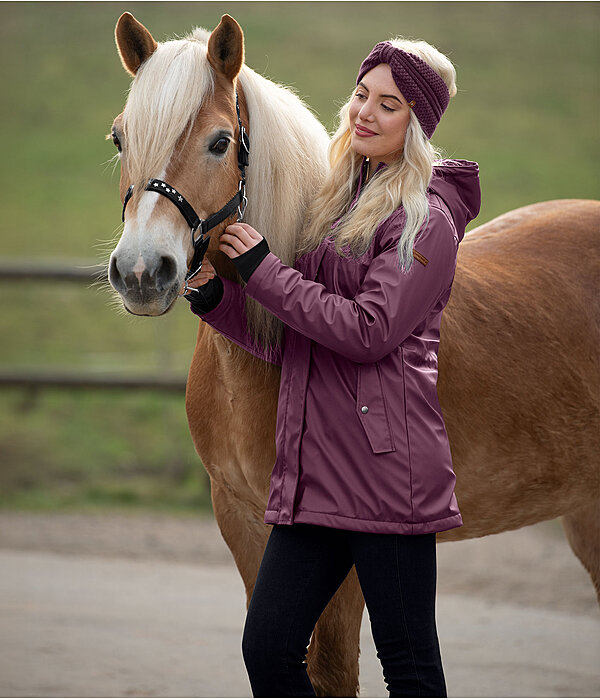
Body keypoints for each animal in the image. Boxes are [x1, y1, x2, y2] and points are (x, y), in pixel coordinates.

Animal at [109, 12, 600, 700]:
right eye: (119, 137)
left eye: (218, 142)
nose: (141, 272)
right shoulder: (242, 522)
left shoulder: (335, 553)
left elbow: (333, 671)